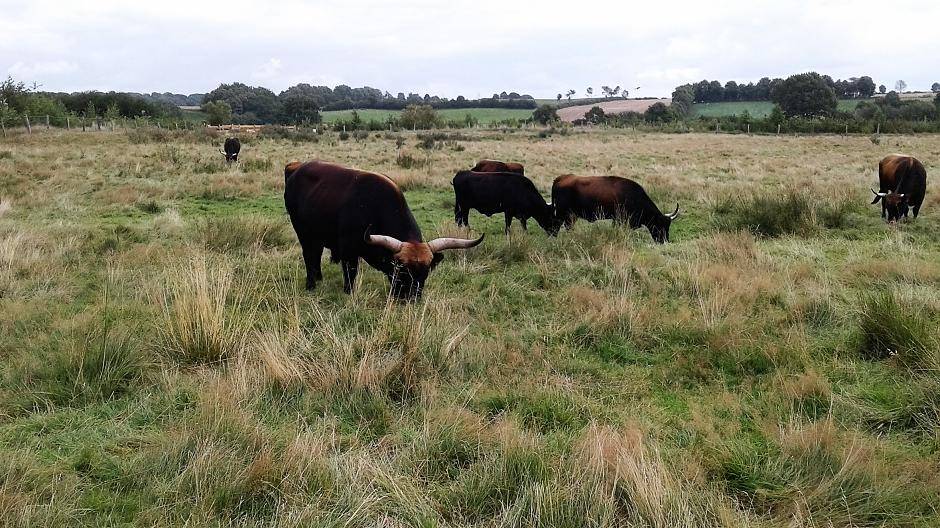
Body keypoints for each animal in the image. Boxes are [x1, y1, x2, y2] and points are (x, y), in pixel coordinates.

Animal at [282, 161, 482, 300]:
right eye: (402, 271)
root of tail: (297, 169)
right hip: (303, 231)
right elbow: (350, 273)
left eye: (425, 273)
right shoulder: (348, 250)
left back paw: (319, 277)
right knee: (309, 254)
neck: (374, 207)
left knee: (316, 254)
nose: (412, 299)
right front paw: (348, 293)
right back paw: (311, 284)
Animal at [548, 176, 680, 244]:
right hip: (563, 214)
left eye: (668, 225)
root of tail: (560, 178)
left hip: (571, 216)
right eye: (660, 225)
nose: (665, 241)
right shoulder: (620, 219)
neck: (633, 196)